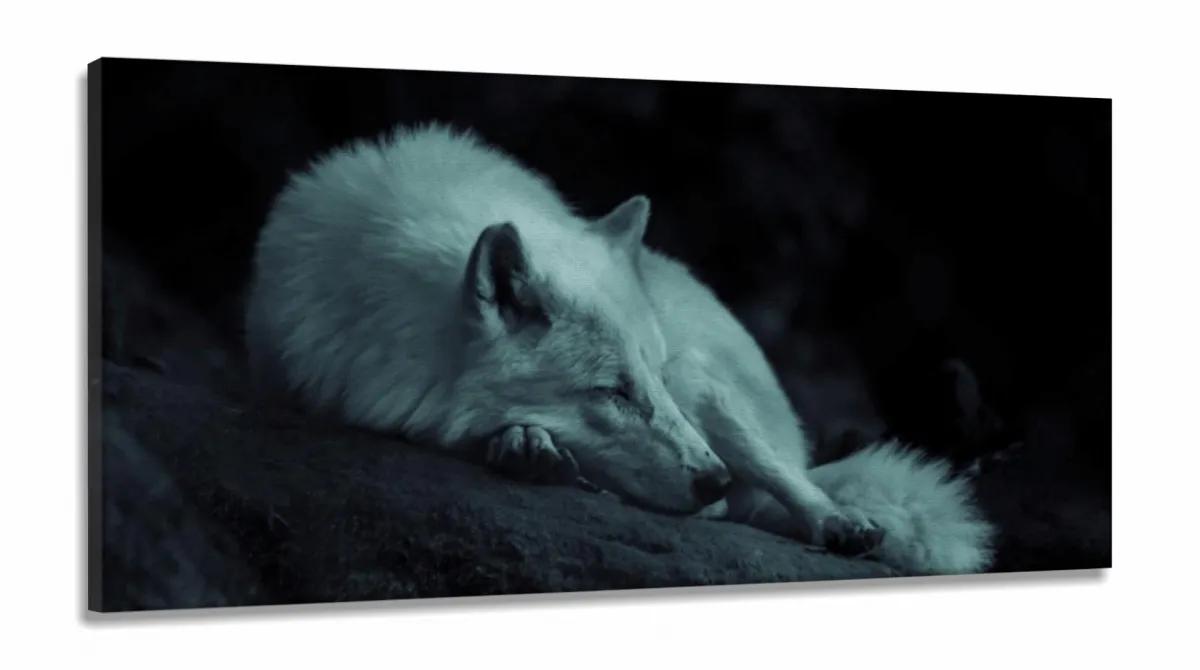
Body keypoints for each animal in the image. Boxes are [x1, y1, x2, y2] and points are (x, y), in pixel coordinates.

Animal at [243, 123, 996, 576]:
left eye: (650, 380)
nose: (714, 478)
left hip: (713, 392)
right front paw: (526, 445)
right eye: (612, 392)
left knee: (790, 480)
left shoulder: (682, 383)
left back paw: (837, 520)